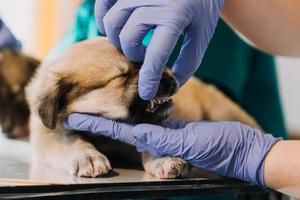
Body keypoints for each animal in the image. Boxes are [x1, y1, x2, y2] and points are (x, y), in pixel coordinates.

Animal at [25, 37, 260, 178]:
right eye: (121, 76)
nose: (169, 78)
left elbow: (150, 142)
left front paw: (164, 160)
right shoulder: (49, 134)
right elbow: (71, 140)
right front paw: (87, 156)